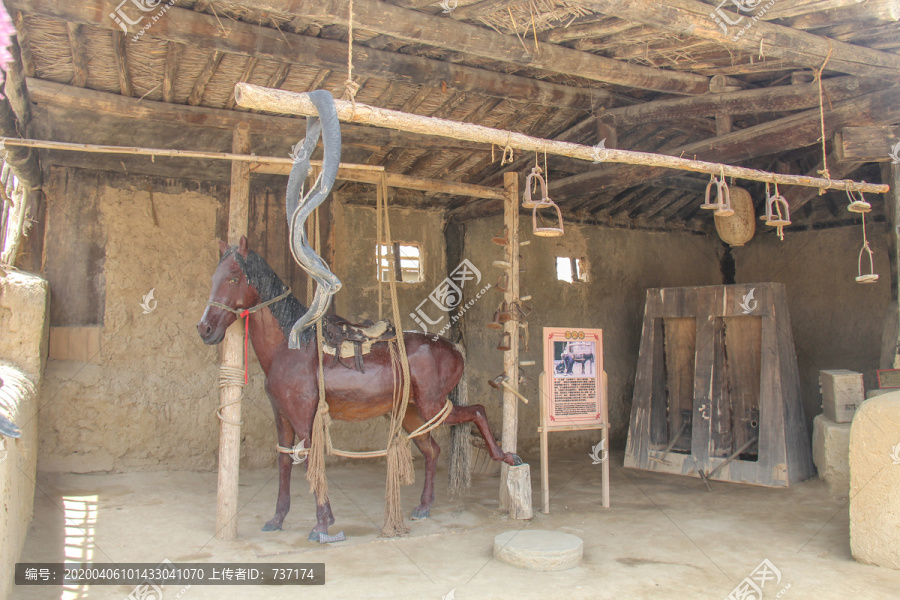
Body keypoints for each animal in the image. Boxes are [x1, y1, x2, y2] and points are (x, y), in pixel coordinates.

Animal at [197, 237, 520, 540]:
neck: (290, 347)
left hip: (433, 405)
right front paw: (277, 519)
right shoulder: (282, 416)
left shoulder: (304, 417)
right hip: (411, 412)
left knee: (476, 411)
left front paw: (323, 524)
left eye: (233, 278)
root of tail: (453, 347)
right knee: (432, 450)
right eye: (213, 278)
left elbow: (310, 462)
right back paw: (423, 506)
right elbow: (284, 461)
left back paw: (506, 456)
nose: (205, 329)